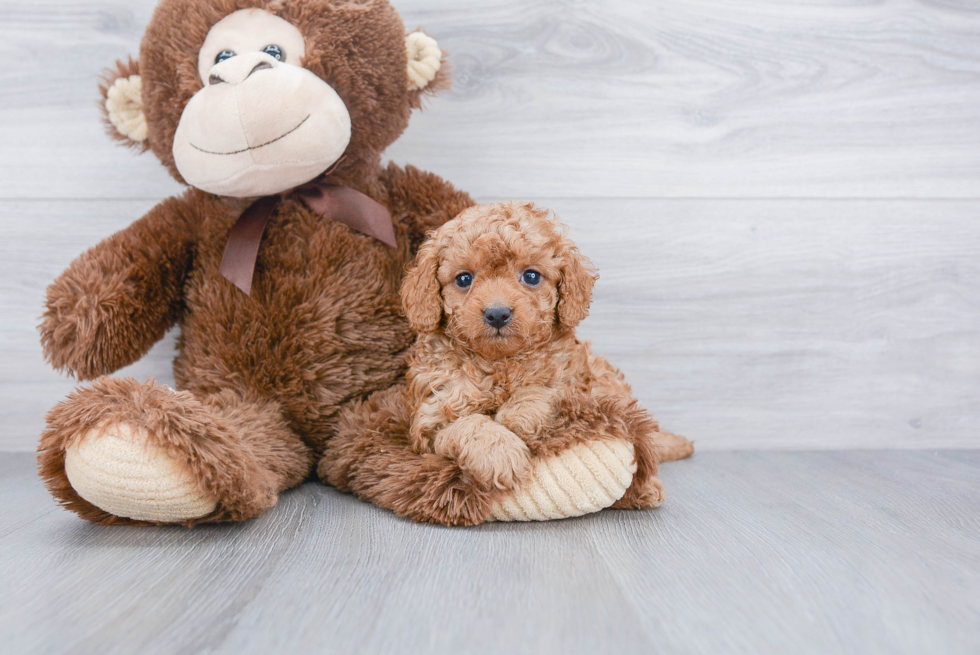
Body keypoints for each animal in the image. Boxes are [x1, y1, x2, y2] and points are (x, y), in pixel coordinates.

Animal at [398, 201, 688, 508]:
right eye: (464, 279)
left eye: (531, 276)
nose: (497, 313)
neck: (501, 363)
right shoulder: (430, 417)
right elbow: (467, 424)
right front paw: (500, 454)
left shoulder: (575, 380)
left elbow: (544, 388)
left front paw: (517, 416)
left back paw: (646, 488)